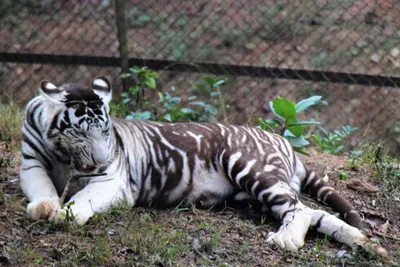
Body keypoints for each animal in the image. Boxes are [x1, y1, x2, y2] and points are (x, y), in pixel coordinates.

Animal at [19, 77, 388, 255]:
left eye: (105, 131)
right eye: (81, 131)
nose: (100, 159)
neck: (64, 155)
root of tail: (283, 142)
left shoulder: (112, 181)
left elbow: (82, 199)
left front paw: (65, 214)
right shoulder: (30, 163)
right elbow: (42, 187)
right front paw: (44, 207)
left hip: (252, 169)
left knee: (300, 211)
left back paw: (286, 241)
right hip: (256, 194)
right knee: (313, 213)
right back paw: (365, 244)